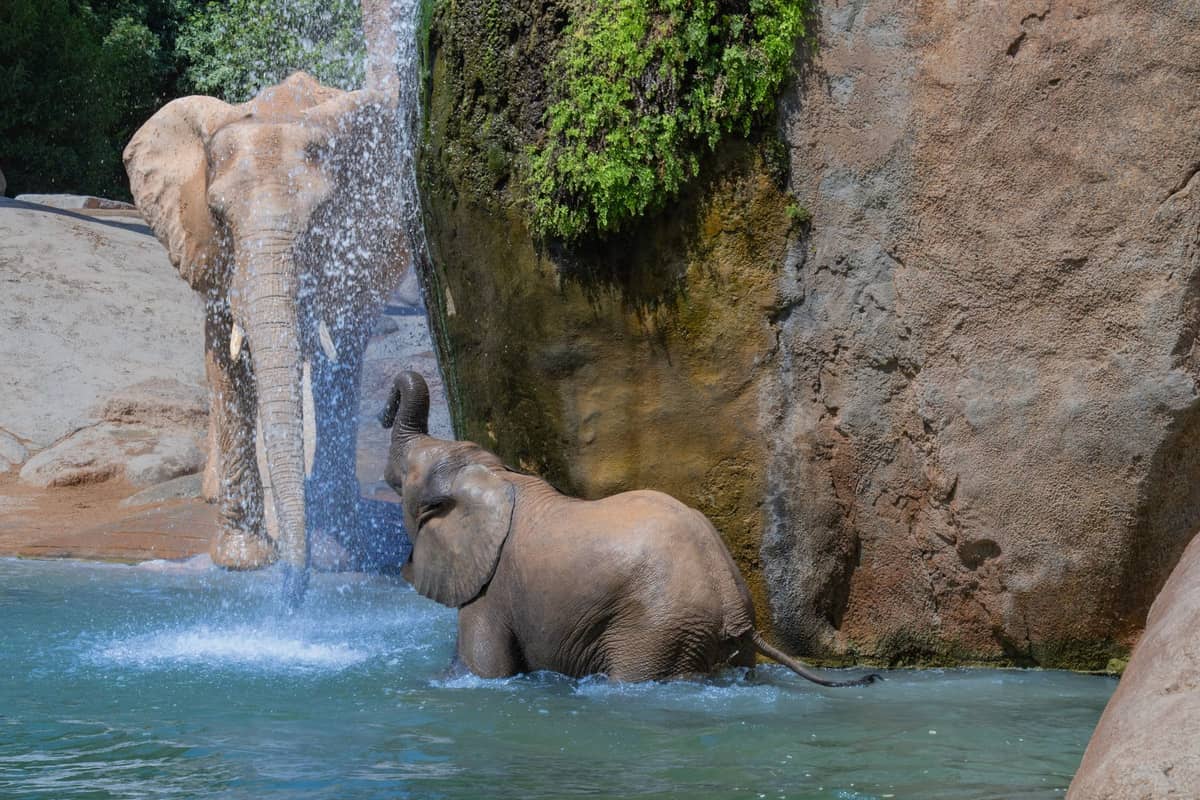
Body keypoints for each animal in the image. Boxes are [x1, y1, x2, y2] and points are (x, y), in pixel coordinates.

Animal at [123, 1, 414, 605]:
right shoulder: (211, 252)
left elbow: (332, 357)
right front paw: (243, 562)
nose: (291, 597)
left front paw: (328, 555)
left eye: (321, 216)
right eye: (218, 212)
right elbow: (226, 358)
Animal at [380, 371, 881, 687]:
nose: (384, 410)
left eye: (400, 481)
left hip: (654, 629)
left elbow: (483, 670)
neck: (498, 477)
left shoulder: (490, 594)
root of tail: (733, 606)